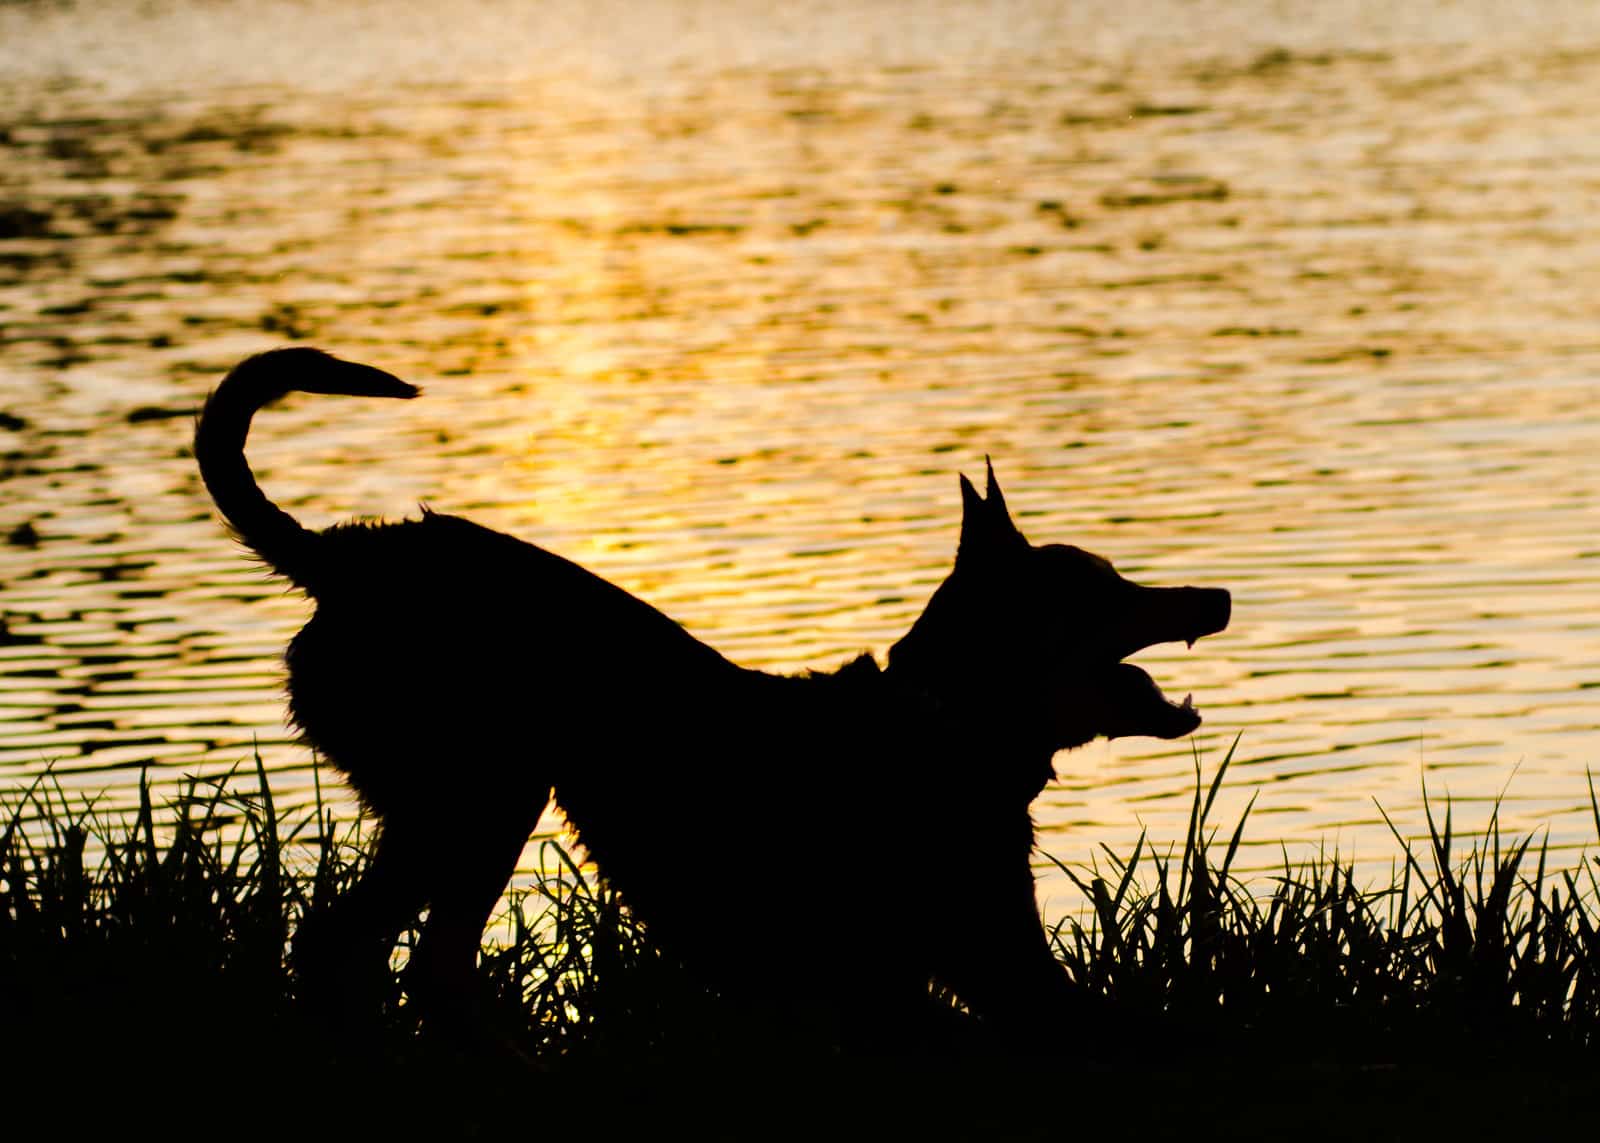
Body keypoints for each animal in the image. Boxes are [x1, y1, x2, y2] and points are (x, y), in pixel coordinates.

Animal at [190, 345, 1235, 1043]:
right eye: (1104, 587)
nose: (1218, 595)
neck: (941, 725)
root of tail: (342, 560)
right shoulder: (976, 964)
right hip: (475, 798)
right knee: (350, 945)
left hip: (473, 810)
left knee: (412, 962)